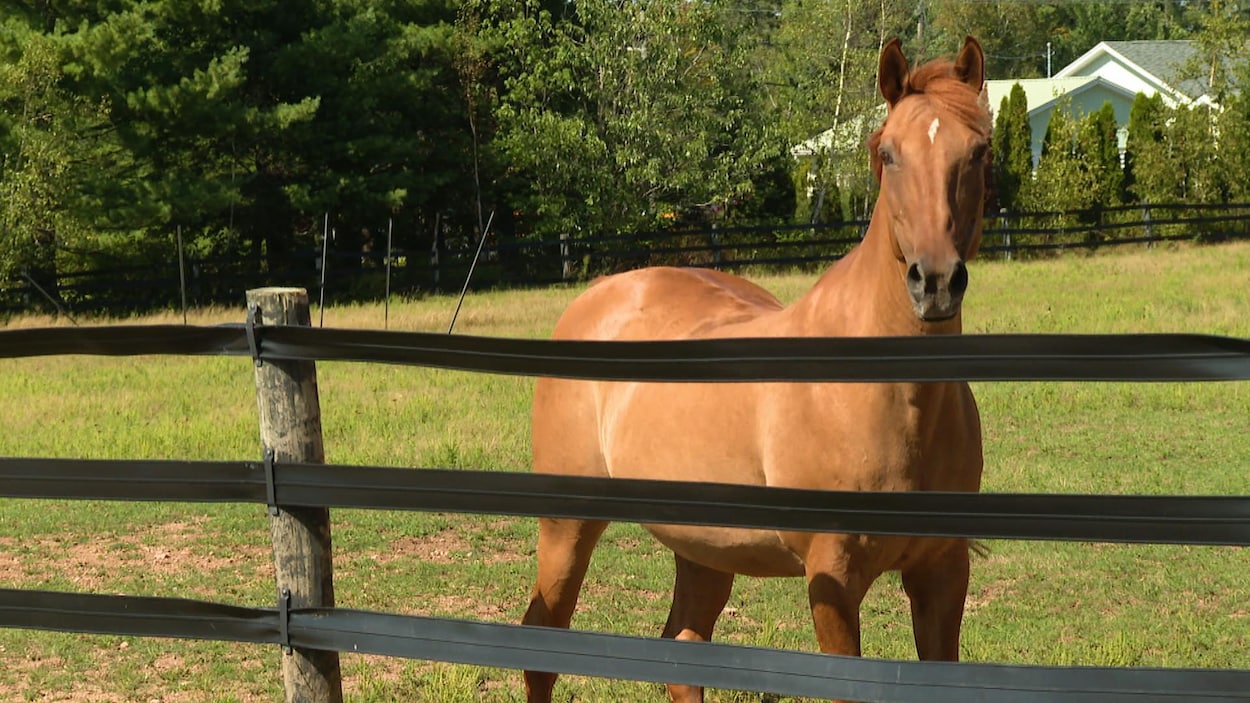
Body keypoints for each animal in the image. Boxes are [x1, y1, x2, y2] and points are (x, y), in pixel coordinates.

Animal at [522, 36, 991, 703]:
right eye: (889, 153)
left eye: (979, 151)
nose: (936, 281)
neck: (885, 394)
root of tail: (599, 295)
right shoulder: (832, 574)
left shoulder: (943, 570)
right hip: (567, 528)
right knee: (542, 647)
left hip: (703, 548)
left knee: (683, 652)